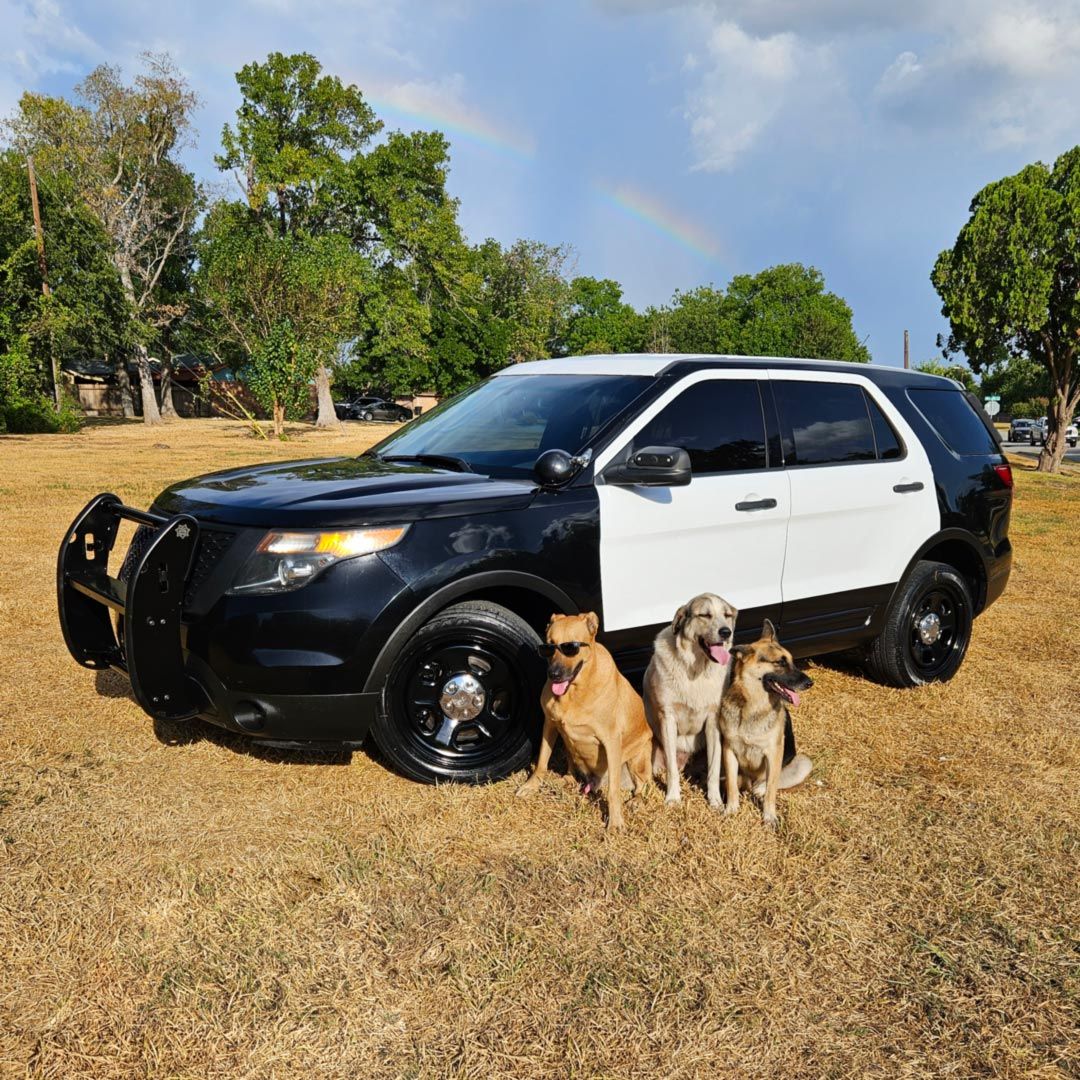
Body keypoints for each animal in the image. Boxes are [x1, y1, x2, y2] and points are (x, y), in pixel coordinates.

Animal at [518, 613, 652, 829]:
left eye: (571, 647)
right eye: (549, 646)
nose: (553, 674)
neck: (574, 693)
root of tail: (594, 782)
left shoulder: (611, 740)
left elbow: (613, 791)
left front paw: (615, 821)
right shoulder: (550, 725)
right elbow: (541, 762)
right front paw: (531, 785)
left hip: (637, 758)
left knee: (642, 785)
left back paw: (636, 801)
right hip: (569, 748)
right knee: (571, 772)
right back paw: (563, 781)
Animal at [643, 591, 738, 803]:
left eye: (727, 615)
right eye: (705, 615)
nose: (726, 632)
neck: (696, 669)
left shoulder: (713, 720)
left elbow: (713, 767)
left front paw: (715, 801)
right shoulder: (668, 719)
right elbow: (671, 769)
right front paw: (673, 798)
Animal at [712, 617, 812, 825]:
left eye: (791, 661)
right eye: (780, 662)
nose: (810, 683)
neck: (752, 705)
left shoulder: (774, 753)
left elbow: (771, 790)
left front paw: (769, 816)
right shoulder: (729, 750)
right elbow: (732, 786)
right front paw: (731, 809)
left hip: (802, 763)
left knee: (769, 784)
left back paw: (759, 789)